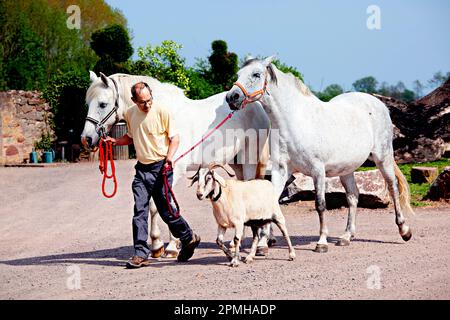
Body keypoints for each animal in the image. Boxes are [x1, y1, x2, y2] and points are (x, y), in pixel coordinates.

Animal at [81, 72, 270, 258]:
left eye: (103, 104)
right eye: (87, 104)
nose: (86, 139)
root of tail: (257, 107)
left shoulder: (172, 171)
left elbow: (163, 205)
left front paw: (169, 246)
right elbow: (158, 206)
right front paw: (160, 245)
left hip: (250, 159)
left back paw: (260, 244)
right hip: (237, 163)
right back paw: (237, 242)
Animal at [227, 57, 414, 252]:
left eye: (256, 74)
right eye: (238, 74)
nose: (231, 98)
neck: (295, 121)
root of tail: (379, 104)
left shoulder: (318, 170)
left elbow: (320, 205)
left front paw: (321, 242)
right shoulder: (281, 170)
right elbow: (271, 203)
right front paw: (263, 245)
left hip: (383, 158)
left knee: (392, 188)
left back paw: (404, 230)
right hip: (347, 169)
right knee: (353, 196)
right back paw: (346, 237)